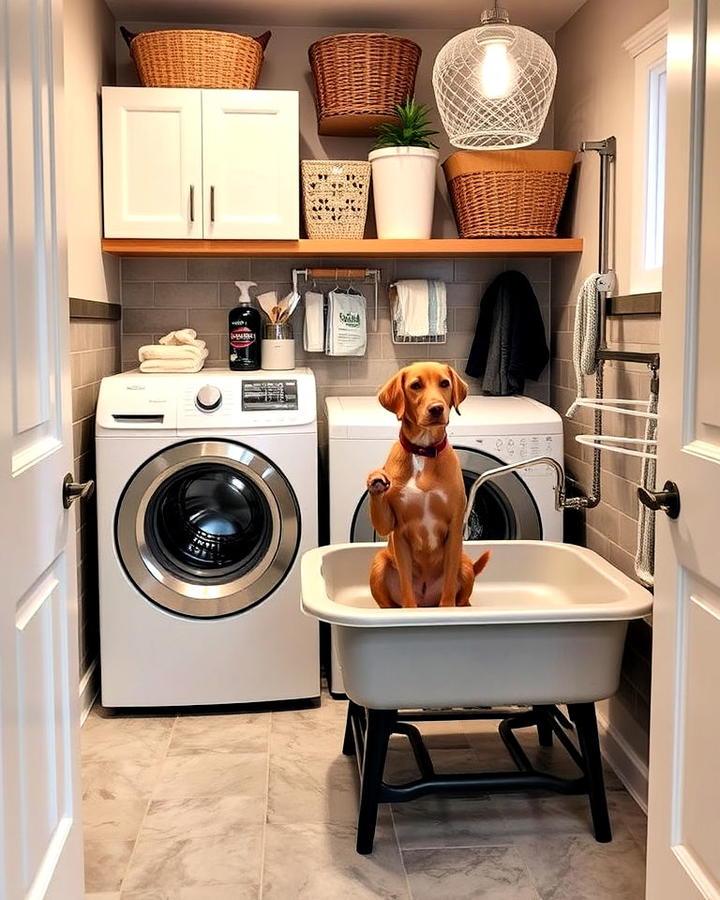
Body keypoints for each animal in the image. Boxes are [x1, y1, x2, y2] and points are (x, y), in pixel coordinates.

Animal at [366, 362, 490, 608]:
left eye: (444, 383)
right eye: (416, 385)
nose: (436, 409)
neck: (422, 451)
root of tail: (426, 599)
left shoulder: (454, 528)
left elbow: (449, 587)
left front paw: (447, 609)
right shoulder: (396, 529)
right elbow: (406, 589)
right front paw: (375, 481)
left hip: (465, 564)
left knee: (462, 596)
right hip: (379, 564)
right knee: (388, 603)